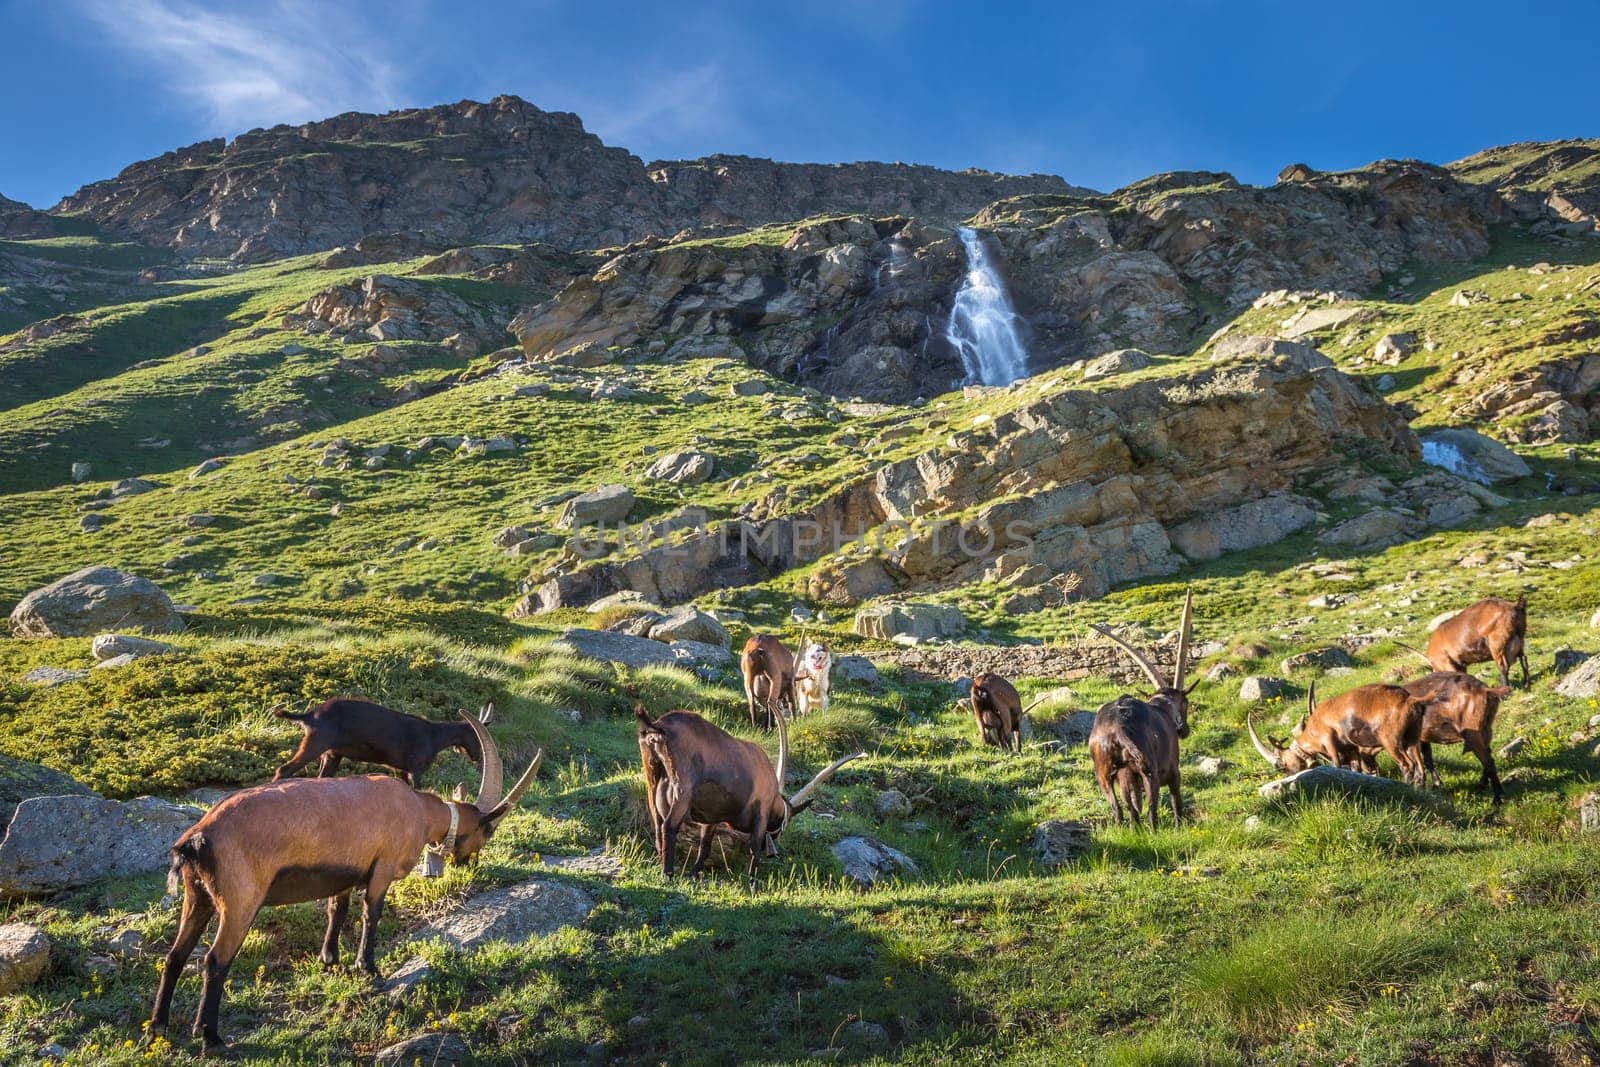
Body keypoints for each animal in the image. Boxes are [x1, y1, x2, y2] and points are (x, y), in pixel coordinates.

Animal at [148, 713, 544, 1055]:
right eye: (485, 830)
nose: (470, 863)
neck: (416, 809)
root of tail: (196, 840)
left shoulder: (344, 873)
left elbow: (336, 910)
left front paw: (329, 959)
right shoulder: (382, 868)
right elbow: (371, 913)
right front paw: (367, 968)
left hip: (197, 897)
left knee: (175, 955)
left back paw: (158, 1027)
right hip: (240, 901)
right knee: (214, 961)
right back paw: (210, 1037)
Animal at [275, 697, 489, 790]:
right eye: (476, 736)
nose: (478, 756)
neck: (434, 736)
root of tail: (309, 715)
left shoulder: (402, 771)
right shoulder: (416, 769)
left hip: (331, 755)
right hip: (315, 744)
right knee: (283, 770)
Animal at [1081, 588, 1196, 831]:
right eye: (1186, 703)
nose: (1184, 730)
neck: (1162, 707)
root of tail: (1116, 731)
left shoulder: (1126, 777)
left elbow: (1131, 806)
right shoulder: (1173, 771)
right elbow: (1176, 800)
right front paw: (1179, 827)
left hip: (1105, 774)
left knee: (1119, 809)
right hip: (1148, 772)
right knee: (1152, 808)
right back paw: (1154, 831)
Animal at [1248, 681, 1427, 790]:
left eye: (1283, 766)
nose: (1291, 776)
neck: (1313, 725)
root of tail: (1409, 699)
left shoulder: (1328, 740)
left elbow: (1336, 764)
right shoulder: (1350, 748)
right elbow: (1355, 768)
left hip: (1390, 740)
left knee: (1407, 765)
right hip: (1412, 738)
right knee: (1419, 767)